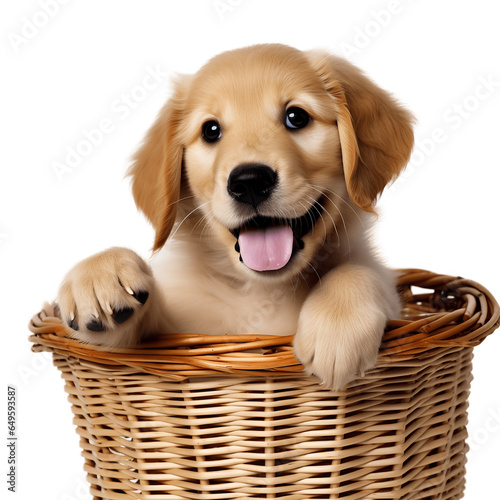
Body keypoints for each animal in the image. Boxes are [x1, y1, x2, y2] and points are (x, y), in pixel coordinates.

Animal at [56, 44, 412, 390]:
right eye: (210, 130)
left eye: (296, 117)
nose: (250, 182)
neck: (262, 289)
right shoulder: (180, 332)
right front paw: (100, 276)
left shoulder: (385, 287)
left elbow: (358, 271)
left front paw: (336, 327)